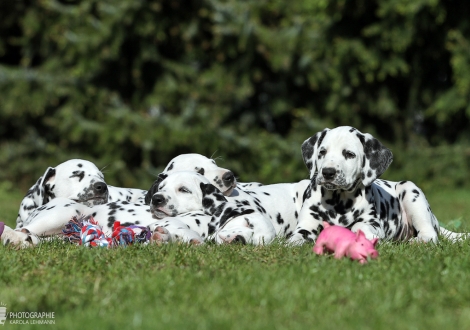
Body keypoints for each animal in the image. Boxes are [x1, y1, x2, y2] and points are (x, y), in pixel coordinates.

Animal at [286, 126, 466, 245]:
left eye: (349, 154)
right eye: (322, 152)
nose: (328, 172)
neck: (339, 202)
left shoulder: (373, 223)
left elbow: (359, 225)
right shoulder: (306, 225)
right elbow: (297, 237)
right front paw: (291, 244)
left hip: (411, 192)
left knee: (430, 233)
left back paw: (421, 241)